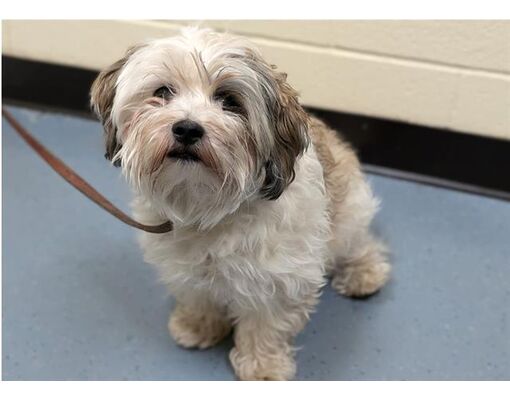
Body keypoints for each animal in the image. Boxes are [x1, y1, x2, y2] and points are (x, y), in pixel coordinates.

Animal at [89, 26, 390, 380]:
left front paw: (263, 367)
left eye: (229, 101)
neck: (207, 206)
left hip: (349, 214)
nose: (187, 128)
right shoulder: (185, 268)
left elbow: (265, 326)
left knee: (361, 244)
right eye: (163, 92)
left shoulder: (279, 280)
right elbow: (199, 297)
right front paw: (198, 326)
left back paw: (364, 273)